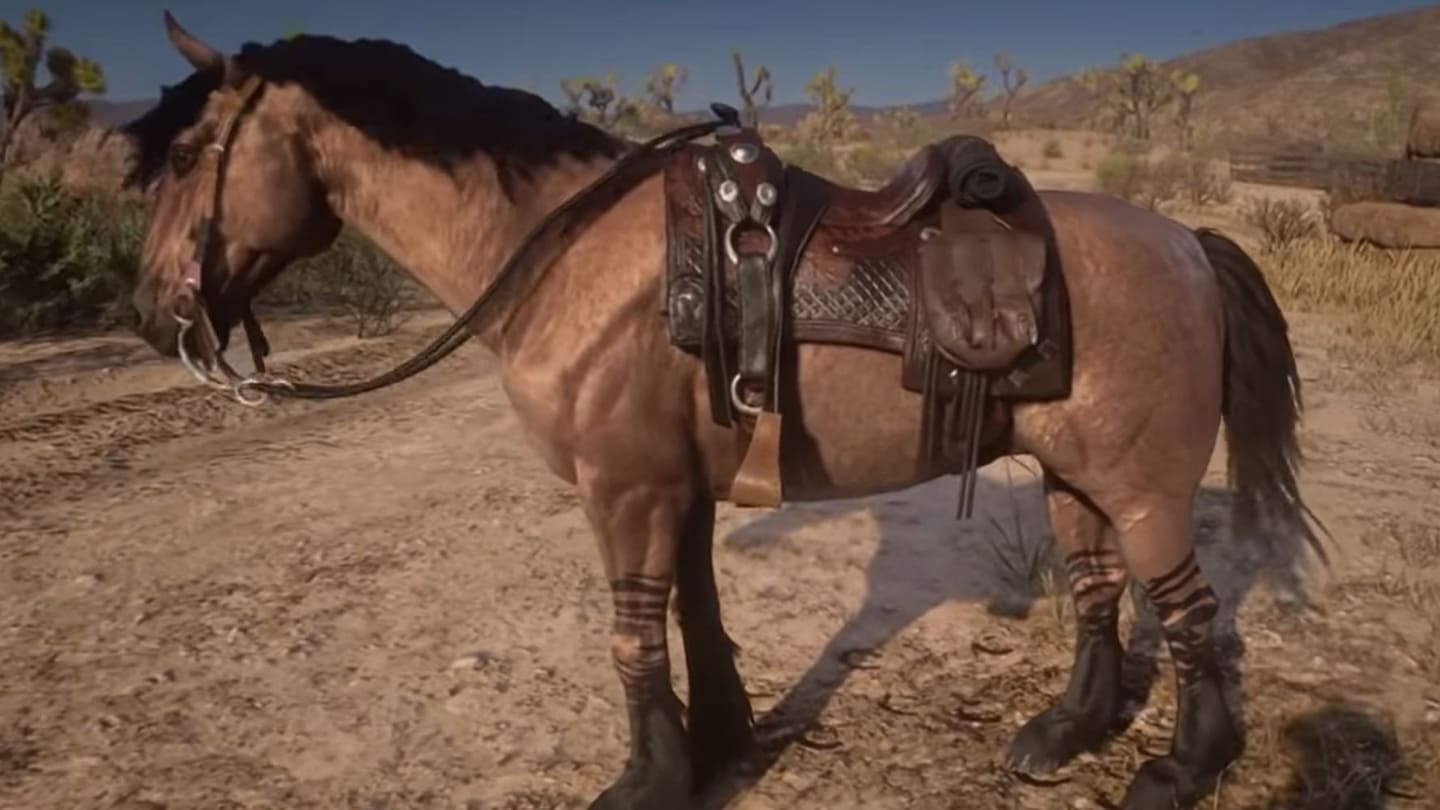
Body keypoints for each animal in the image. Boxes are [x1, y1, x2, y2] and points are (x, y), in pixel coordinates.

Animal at [123, 13, 1323, 810]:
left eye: (185, 154)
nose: (149, 314)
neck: (575, 254)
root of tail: (1186, 242)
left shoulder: (626, 490)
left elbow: (630, 635)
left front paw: (650, 779)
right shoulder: (677, 488)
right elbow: (691, 615)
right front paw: (721, 744)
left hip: (1145, 486)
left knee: (1191, 614)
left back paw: (1182, 766)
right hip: (1078, 477)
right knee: (1098, 593)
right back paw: (1067, 730)